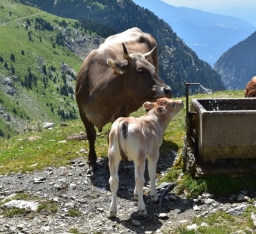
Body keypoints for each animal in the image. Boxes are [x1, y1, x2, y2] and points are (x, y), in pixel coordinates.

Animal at [76, 27, 172, 169]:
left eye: (153, 68)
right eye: (140, 70)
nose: (168, 90)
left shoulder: (118, 112)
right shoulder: (82, 112)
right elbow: (91, 135)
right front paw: (92, 159)